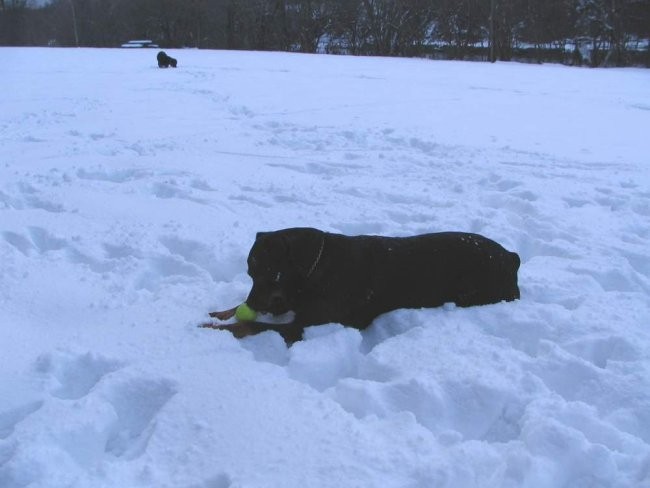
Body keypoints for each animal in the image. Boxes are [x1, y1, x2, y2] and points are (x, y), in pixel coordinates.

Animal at [205, 228, 520, 346]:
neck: (316, 267)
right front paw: (220, 313)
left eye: (272, 275)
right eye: (250, 272)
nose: (253, 304)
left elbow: (253, 326)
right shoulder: (290, 299)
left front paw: (216, 328)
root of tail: (511, 258)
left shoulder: (306, 325)